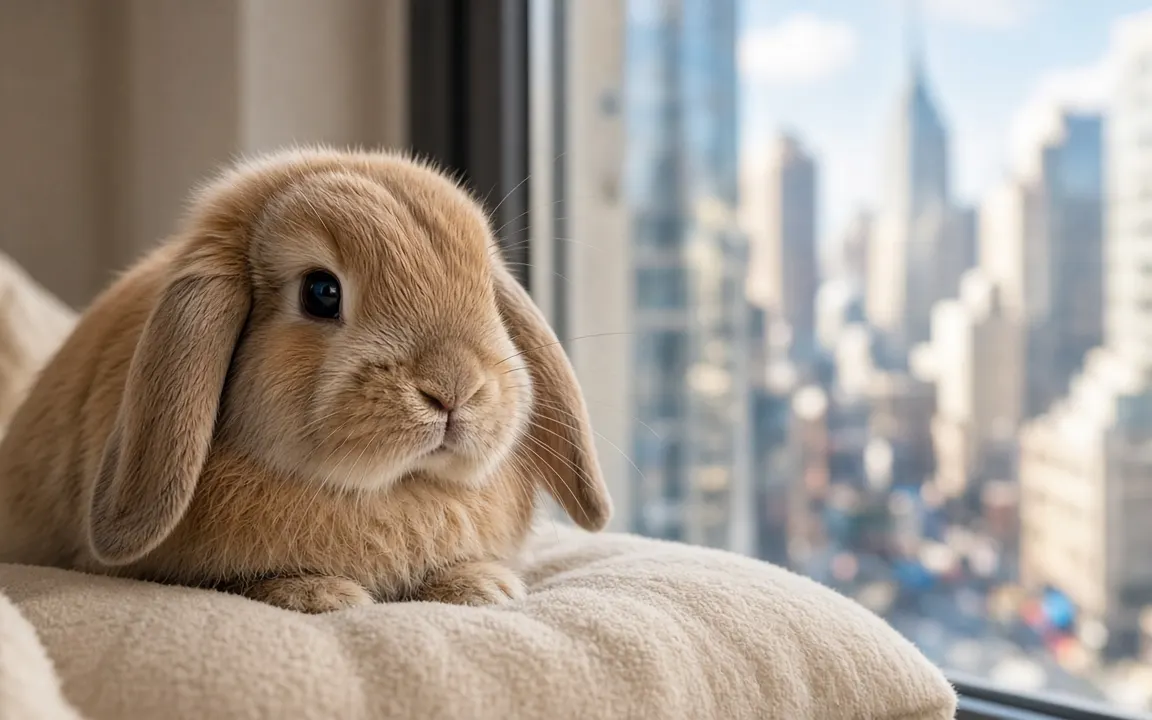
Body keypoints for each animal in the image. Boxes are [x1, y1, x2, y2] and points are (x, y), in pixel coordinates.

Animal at [0, 147, 611, 613]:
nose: (453, 389)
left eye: (486, 288)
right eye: (321, 292)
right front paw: (322, 596)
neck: (391, 491)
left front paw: (485, 586)